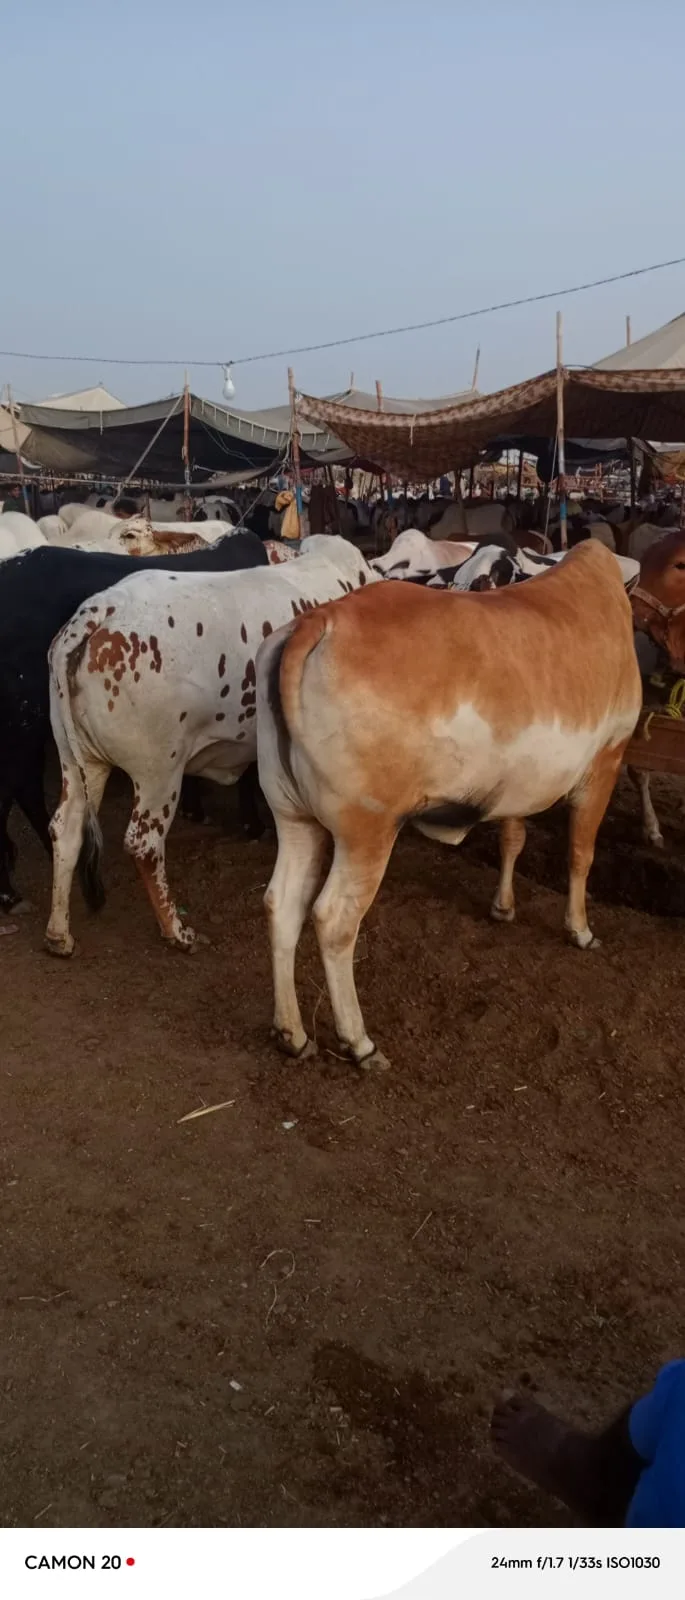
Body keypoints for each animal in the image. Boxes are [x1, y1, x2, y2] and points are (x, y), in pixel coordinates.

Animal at [45, 536, 380, 955]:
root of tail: (98, 611)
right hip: (159, 772)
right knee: (143, 845)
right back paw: (176, 931)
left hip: (78, 762)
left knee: (66, 828)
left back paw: (59, 933)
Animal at [255, 541, 641, 1071]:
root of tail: (320, 620)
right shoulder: (606, 760)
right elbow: (581, 854)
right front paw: (580, 931)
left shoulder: (521, 780)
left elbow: (513, 837)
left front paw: (503, 907)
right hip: (367, 831)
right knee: (334, 920)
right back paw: (359, 1041)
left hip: (293, 817)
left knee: (282, 904)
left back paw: (291, 1033)